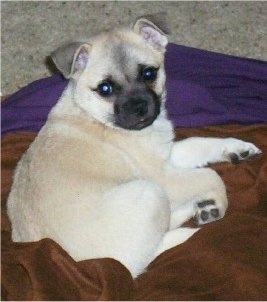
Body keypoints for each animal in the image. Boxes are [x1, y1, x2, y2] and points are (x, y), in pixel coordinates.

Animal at [6, 14, 262, 278]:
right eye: (105, 89)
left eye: (149, 74)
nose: (139, 106)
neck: (94, 116)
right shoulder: (164, 177)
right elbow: (211, 175)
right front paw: (218, 203)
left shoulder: (168, 156)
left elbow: (199, 143)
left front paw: (235, 148)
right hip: (152, 192)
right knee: (156, 243)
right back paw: (194, 211)